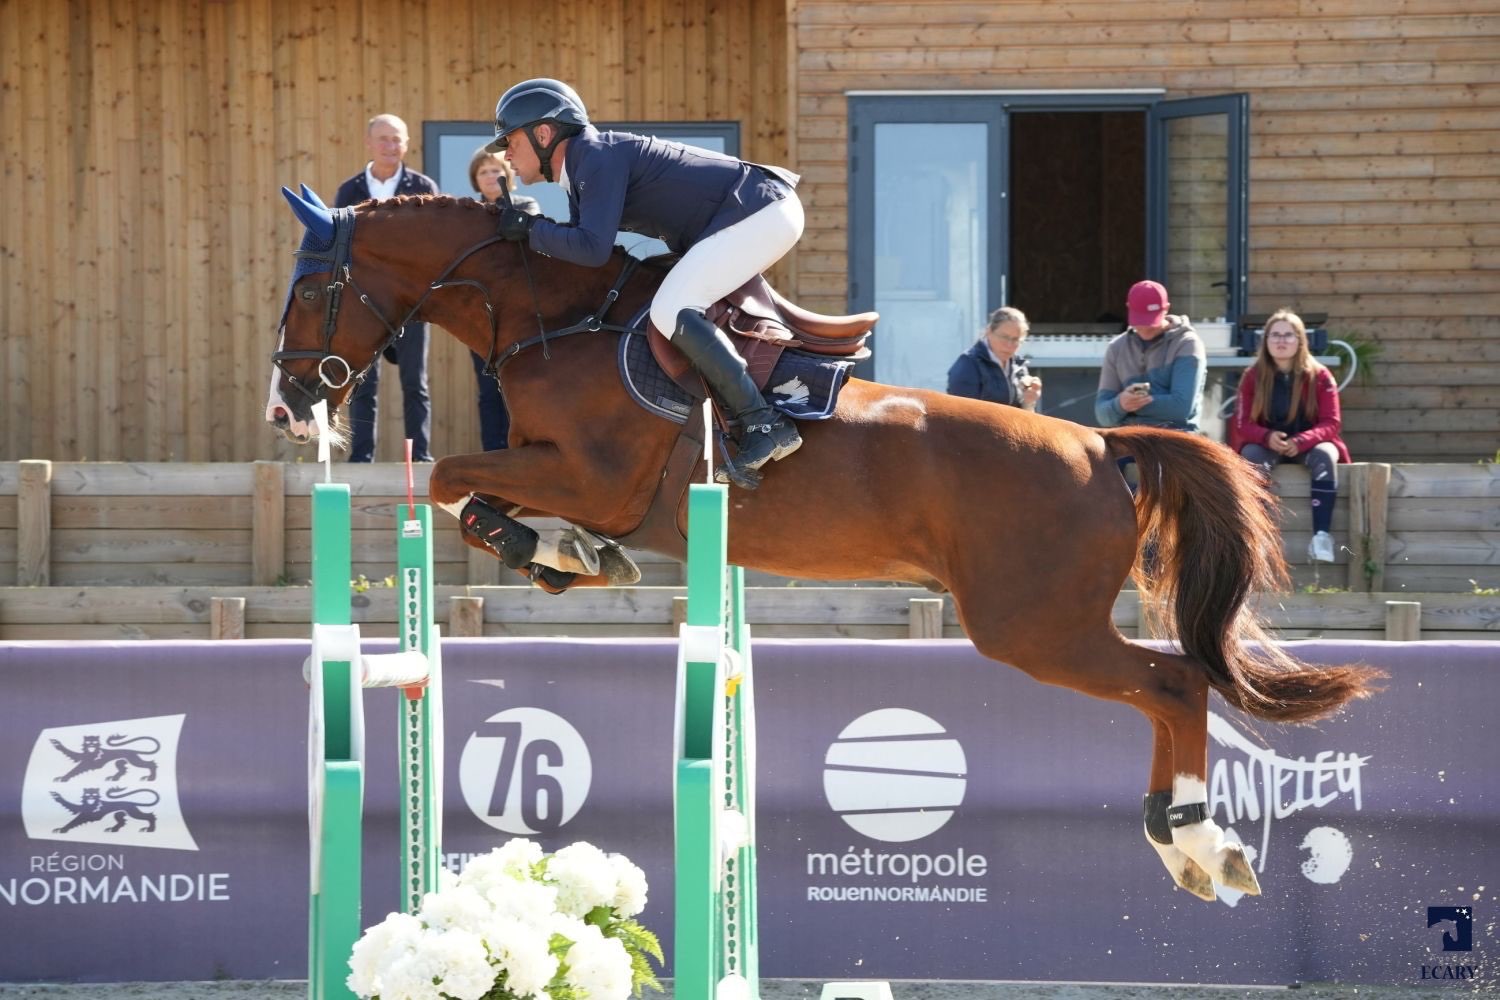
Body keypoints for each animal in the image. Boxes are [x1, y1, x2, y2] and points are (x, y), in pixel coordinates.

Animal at [264, 191, 1374, 905]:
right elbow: (469, 488)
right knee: (1170, 684)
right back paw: (1181, 841)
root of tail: (1103, 443)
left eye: (311, 289)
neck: (557, 316)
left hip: (1033, 628)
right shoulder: (564, 471)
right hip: (1045, 624)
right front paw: (563, 552)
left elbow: (455, 477)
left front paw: (562, 548)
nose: (288, 401)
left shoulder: (595, 473)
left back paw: (1196, 845)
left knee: (1176, 681)